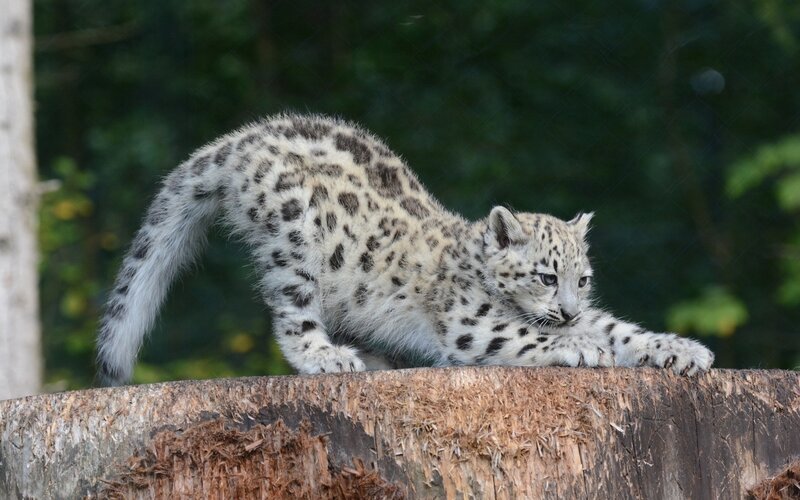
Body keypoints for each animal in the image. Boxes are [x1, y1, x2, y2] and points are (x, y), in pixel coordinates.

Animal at [96, 113, 714, 385]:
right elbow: (525, 334)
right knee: (292, 316)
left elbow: (620, 328)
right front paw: (581, 345)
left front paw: (681, 349)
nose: (567, 309)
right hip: (293, 240)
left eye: (581, 279)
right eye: (544, 276)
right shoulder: (471, 324)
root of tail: (242, 136)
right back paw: (328, 357)